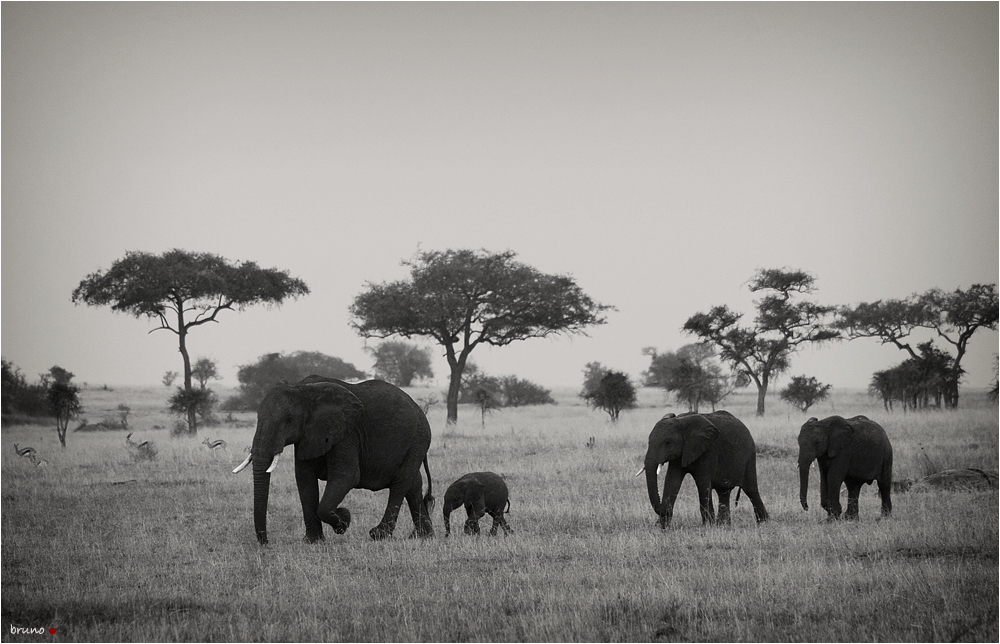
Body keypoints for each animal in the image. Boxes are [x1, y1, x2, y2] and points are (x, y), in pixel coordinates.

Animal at [236, 374, 440, 544]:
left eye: (288, 420)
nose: (266, 542)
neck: (302, 389)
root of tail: (418, 408)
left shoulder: (346, 432)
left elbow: (346, 476)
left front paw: (343, 519)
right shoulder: (307, 436)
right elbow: (304, 480)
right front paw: (313, 541)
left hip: (418, 440)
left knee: (401, 482)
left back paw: (379, 534)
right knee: (413, 483)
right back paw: (423, 536)